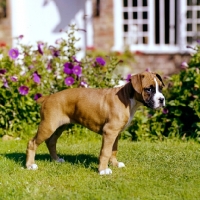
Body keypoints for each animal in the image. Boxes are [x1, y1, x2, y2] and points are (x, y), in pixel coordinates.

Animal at [25, 71, 165, 175]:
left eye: (161, 88)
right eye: (149, 89)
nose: (162, 99)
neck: (128, 98)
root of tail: (48, 97)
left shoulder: (116, 133)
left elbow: (113, 150)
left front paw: (115, 164)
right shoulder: (109, 132)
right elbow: (105, 152)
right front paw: (103, 170)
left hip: (59, 126)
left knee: (51, 141)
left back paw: (56, 159)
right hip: (48, 126)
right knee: (32, 143)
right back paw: (30, 165)